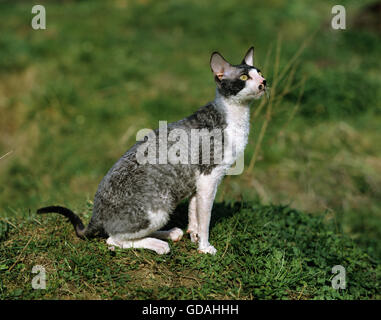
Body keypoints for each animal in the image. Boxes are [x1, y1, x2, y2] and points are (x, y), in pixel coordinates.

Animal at [37, 46, 266, 255]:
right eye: (244, 77)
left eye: (260, 72)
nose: (264, 83)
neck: (237, 116)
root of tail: (96, 215)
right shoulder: (209, 177)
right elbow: (205, 218)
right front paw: (205, 247)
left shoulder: (197, 181)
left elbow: (194, 212)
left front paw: (193, 235)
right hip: (159, 207)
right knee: (113, 239)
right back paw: (159, 245)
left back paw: (171, 233)